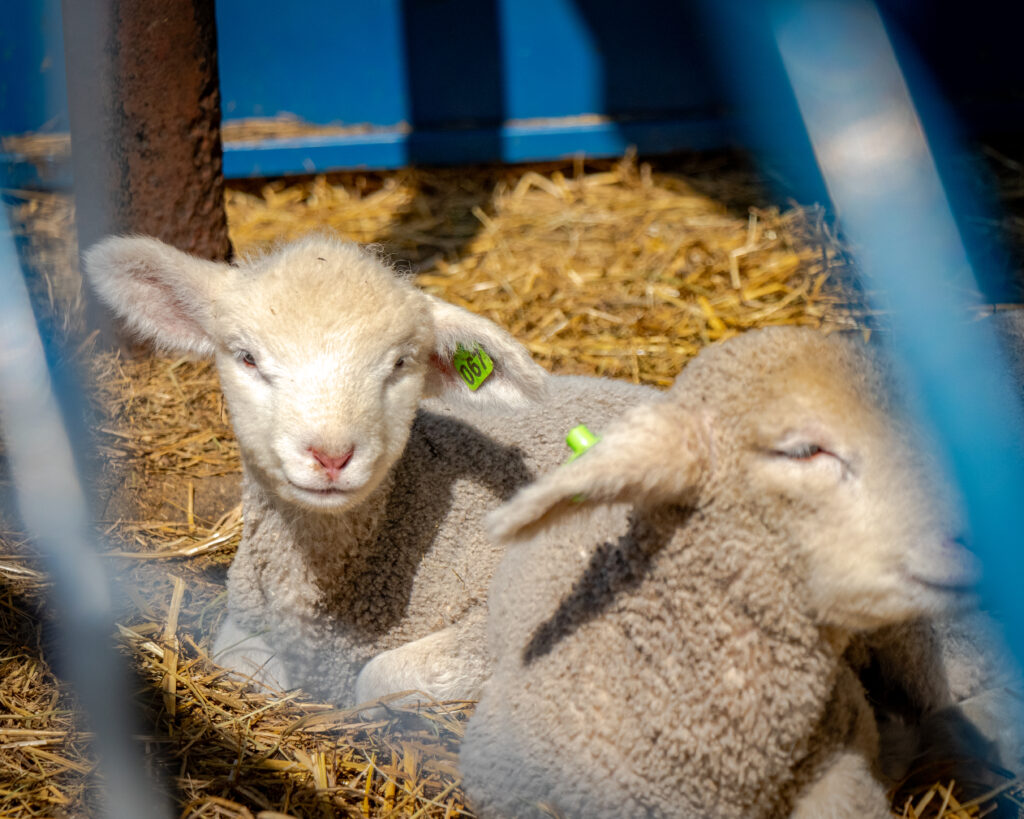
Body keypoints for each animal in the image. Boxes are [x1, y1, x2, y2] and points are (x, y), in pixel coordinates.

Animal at [82, 234, 657, 706]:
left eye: (401, 363)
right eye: (247, 357)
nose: (331, 455)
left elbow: (379, 679)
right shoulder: (247, 624)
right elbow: (245, 670)